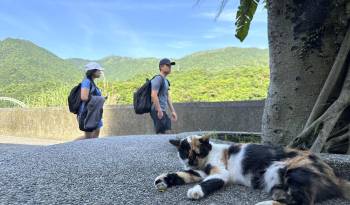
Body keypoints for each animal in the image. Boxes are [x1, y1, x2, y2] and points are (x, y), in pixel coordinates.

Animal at [154, 135, 350, 205]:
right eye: (184, 153)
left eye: (197, 152)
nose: (191, 161)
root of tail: (335, 177)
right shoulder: (197, 172)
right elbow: (183, 175)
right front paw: (162, 180)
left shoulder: (221, 173)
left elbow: (209, 182)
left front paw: (195, 191)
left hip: (292, 171)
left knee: (303, 202)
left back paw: (264, 204)